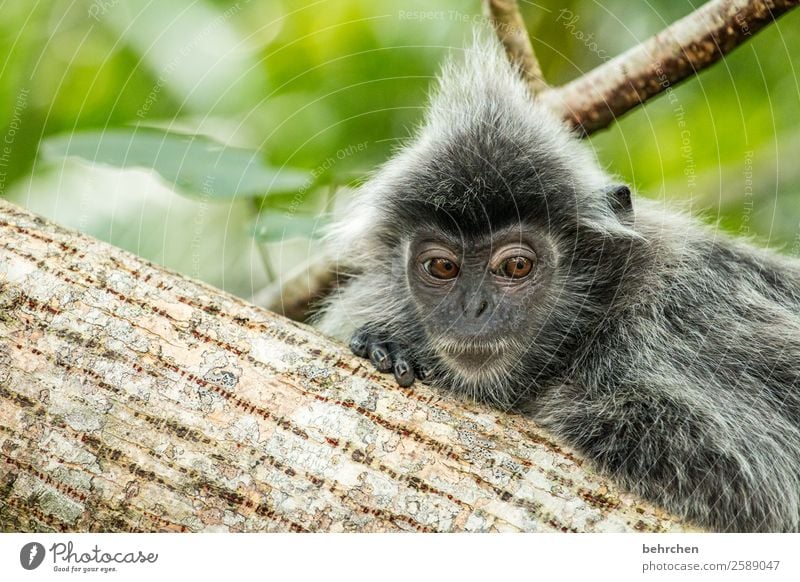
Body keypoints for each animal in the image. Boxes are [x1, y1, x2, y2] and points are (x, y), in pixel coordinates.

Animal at [310, 33, 800, 532]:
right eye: (443, 268)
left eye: (515, 267)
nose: (472, 309)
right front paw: (386, 347)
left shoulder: (683, 324)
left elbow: (755, 484)